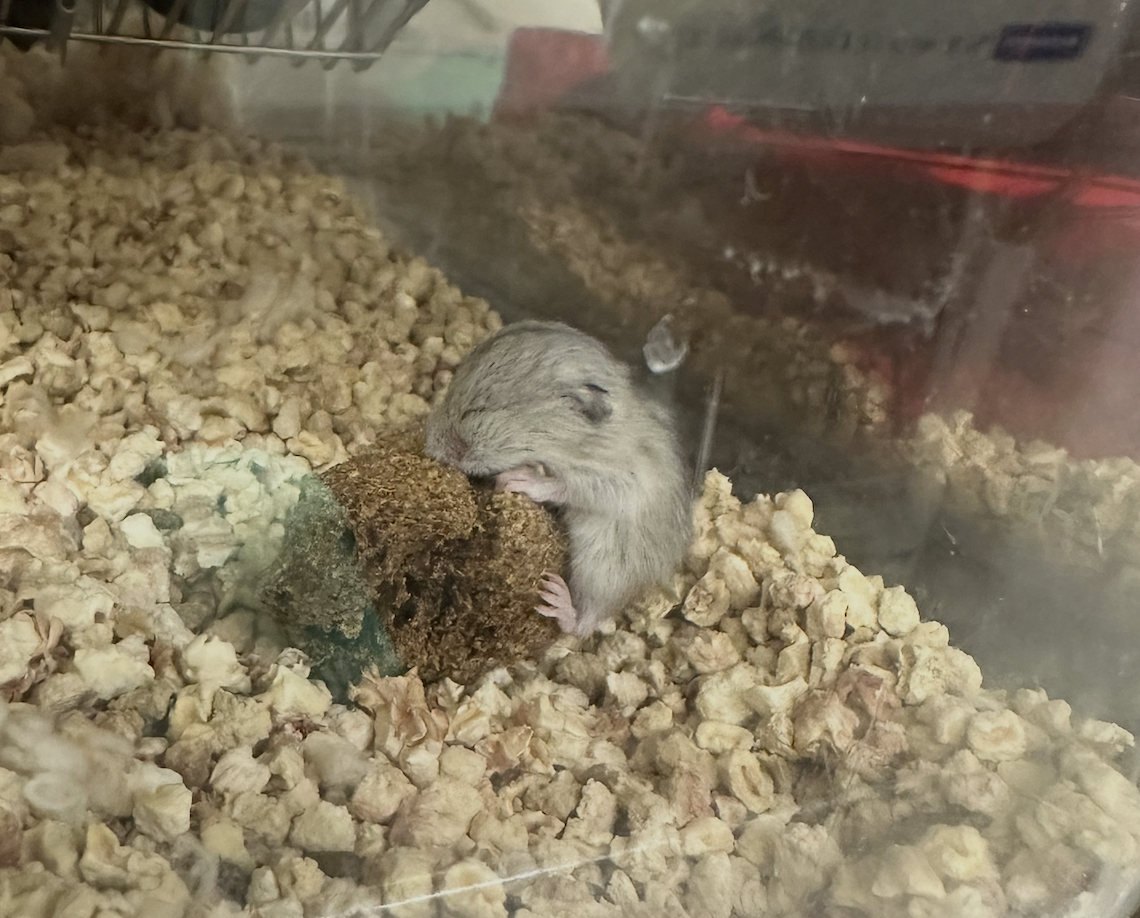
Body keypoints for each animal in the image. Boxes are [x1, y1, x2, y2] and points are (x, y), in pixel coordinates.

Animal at [425, 320, 693, 636]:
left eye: (474, 412)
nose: (428, 446)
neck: (570, 440)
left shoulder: (617, 480)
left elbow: (563, 485)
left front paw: (516, 479)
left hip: (602, 565)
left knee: (583, 625)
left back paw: (557, 598)